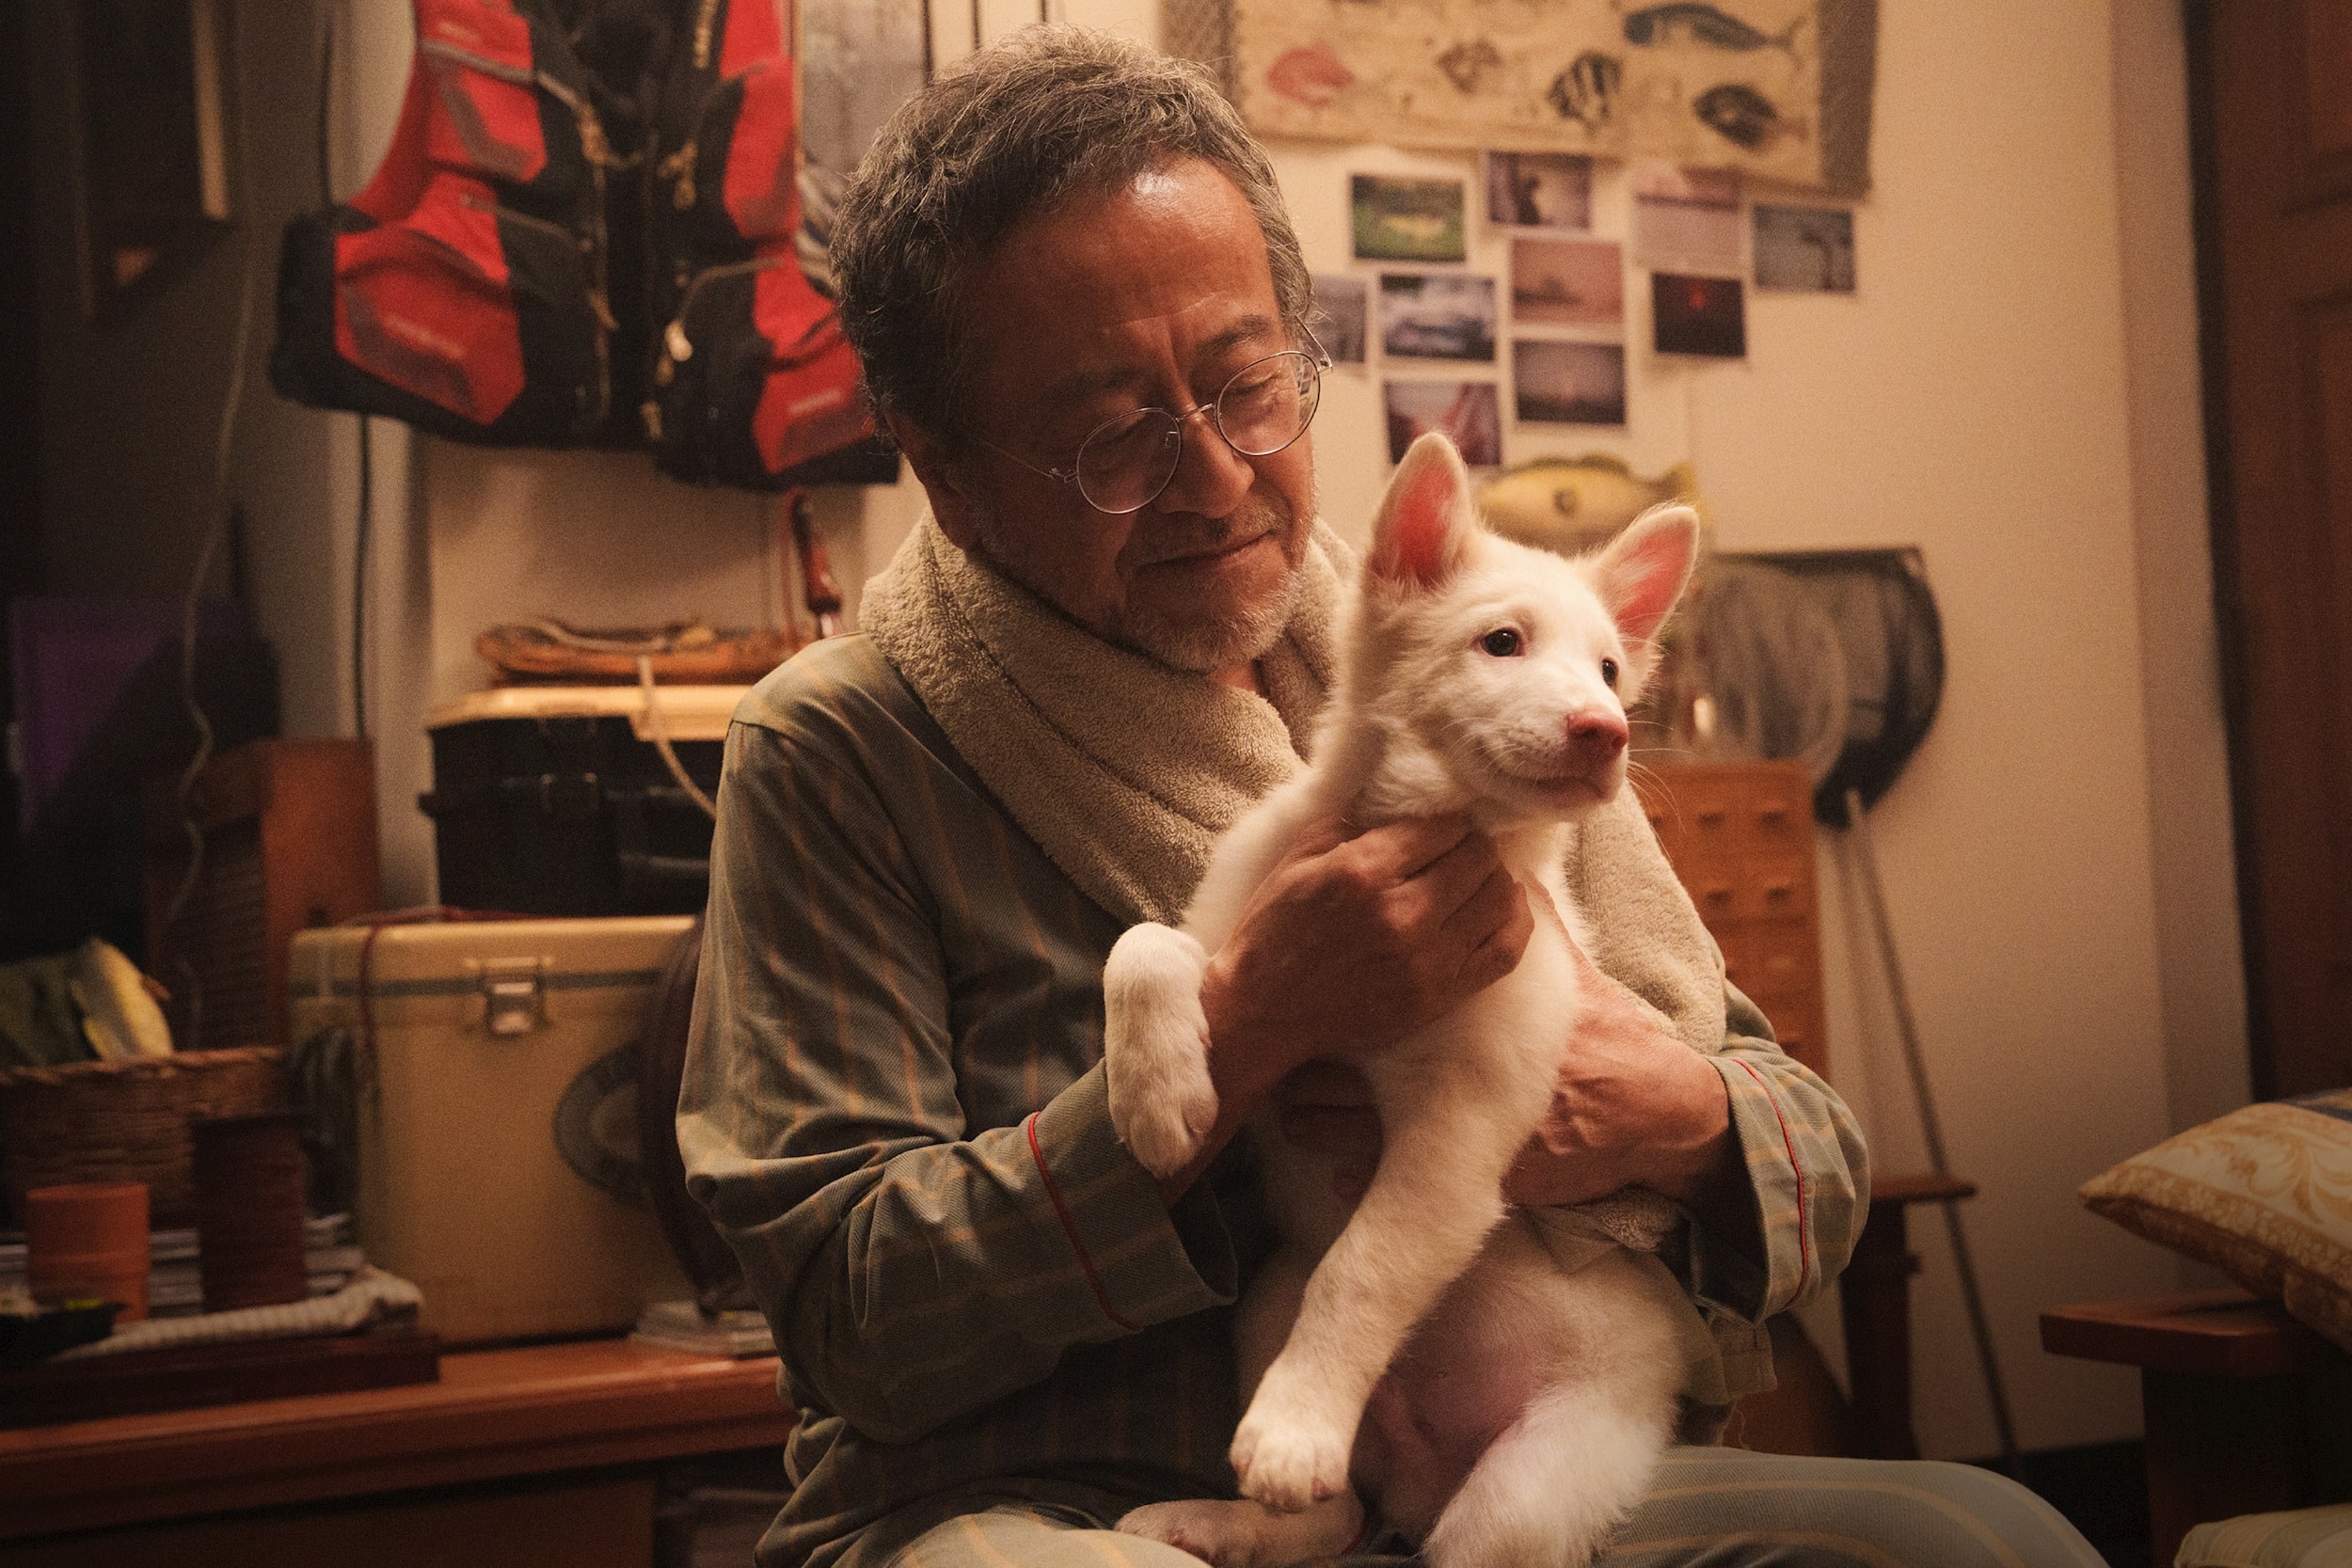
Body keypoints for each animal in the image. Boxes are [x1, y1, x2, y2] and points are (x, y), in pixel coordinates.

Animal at [1103, 432, 1703, 1568]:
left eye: (1610, 667)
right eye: (1501, 642)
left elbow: (1367, 1268)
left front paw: (1293, 1429)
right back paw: (1208, 1520)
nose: (1606, 730)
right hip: (1266, 1293)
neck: (1417, 828)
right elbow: (1142, 945)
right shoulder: (1242, 939)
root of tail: (1423, 1477)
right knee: (1335, 1514)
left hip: (1530, 1487)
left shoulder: (1462, 1125)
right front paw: (1156, 1096)